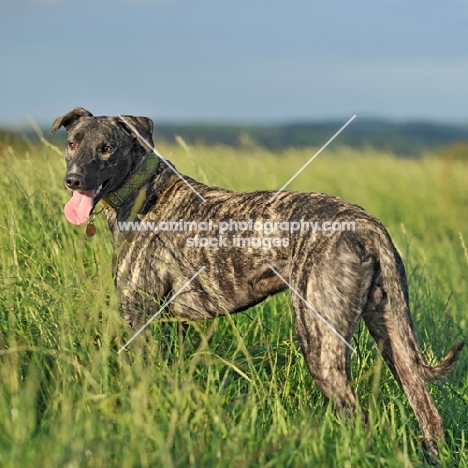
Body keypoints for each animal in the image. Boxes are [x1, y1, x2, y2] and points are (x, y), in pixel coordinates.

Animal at [51, 108, 464, 462]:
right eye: (72, 142)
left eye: (107, 147)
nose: (73, 181)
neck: (143, 188)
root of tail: (366, 224)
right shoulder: (173, 327)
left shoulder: (139, 321)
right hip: (393, 336)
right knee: (429, 414)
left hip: (319, 339)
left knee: (356, 416)